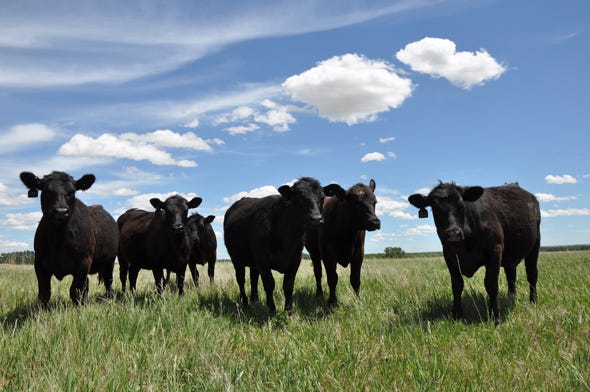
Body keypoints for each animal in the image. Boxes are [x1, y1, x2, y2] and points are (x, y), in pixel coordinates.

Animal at [20, 172, 119, 306]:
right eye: (46, 191)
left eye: (71, 192)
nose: (61, 211)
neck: (58, 240)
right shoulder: (39, 263)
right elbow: (44, 293)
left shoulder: (84, 262)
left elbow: (75, 291)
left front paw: (80, 308)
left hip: (110, 261)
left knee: (108, 282)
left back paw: (109, 298)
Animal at [223, 178, 342, 316]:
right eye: (299, 198)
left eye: (322, 197)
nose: (317, 218)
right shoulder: (262, 259)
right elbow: (269, 284)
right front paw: (272, 310)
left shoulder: (295, 259)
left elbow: (288, 285)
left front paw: (289, 311)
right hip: (236, 259)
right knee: (241, 280)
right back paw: (246, 303)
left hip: (253, 262)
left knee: (253, 278)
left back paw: (255, 300)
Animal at [412, 182, 540, 324]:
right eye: (434, 208)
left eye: (461, 204)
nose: (453, 233)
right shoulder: (449, 256)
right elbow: (457, 286)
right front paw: (456, 315)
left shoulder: (495, 250)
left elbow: (491, 285)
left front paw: (495, 317)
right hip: (510, 256)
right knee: (511, 276)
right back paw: (511, 297)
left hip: (535, 244)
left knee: (532, 274)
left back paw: (533, 301)